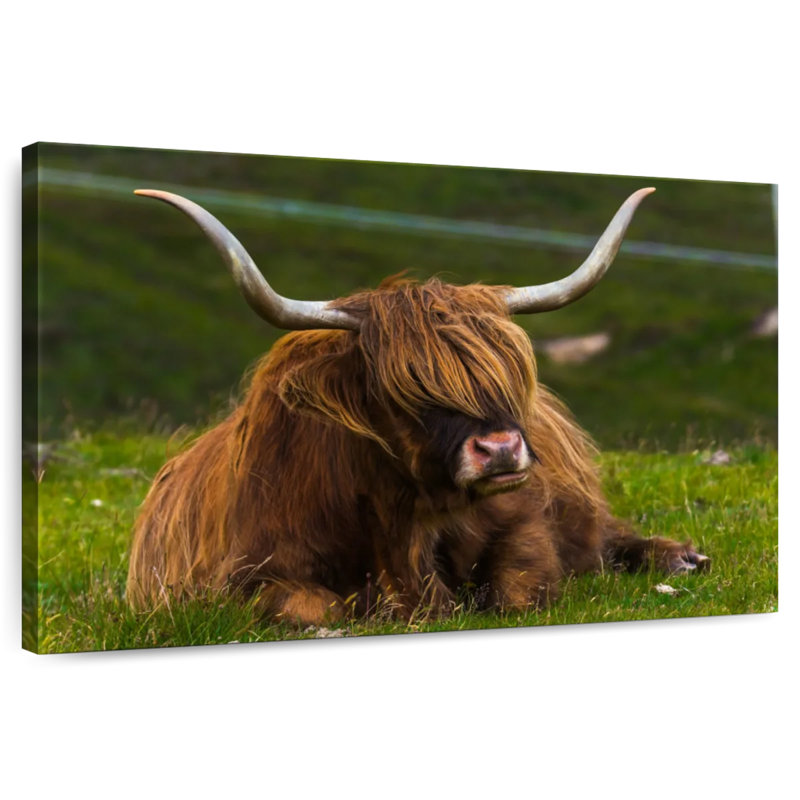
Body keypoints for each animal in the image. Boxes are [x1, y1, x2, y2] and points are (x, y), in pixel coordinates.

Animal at [126, 186, 709, 626]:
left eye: (506, 374)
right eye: (401, 391)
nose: (500, 450)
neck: (405, 518)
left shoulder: (526, 522)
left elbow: (518, 587)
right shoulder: (248, 575)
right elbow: (314, 609)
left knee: (610, 536)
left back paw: (683, 558)